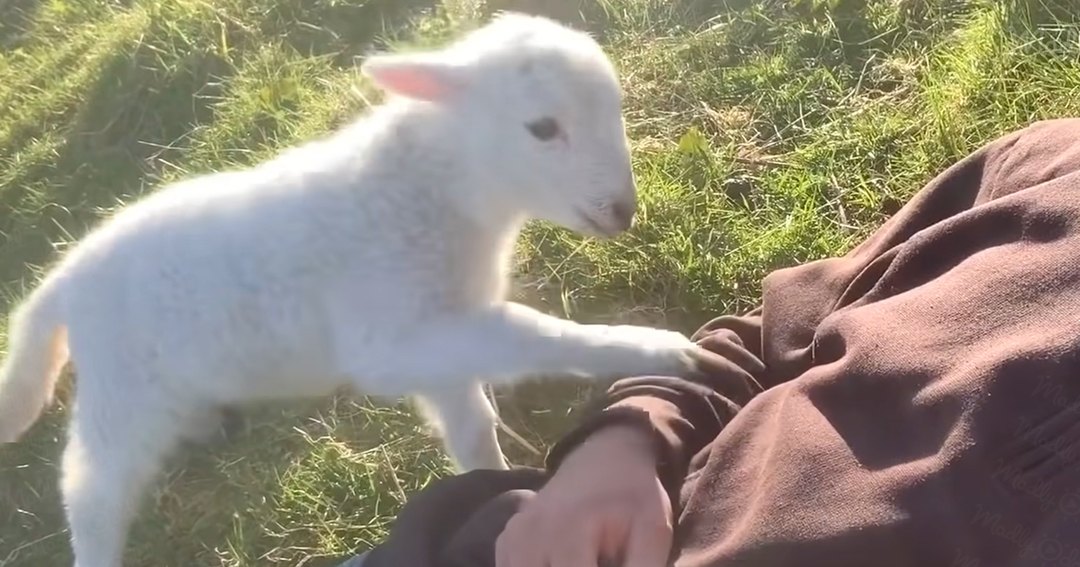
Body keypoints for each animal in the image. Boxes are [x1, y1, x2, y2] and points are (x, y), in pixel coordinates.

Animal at [0, 12, 716, 567]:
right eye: (543, 128)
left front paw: (495, 471)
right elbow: (526, 333)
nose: (622, 211)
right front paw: (653, 349)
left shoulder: (442, 334)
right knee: (89, 489)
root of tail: (63, 278)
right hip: (121, 392)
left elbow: (471, 422)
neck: (441, 189)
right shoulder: (392, 331)